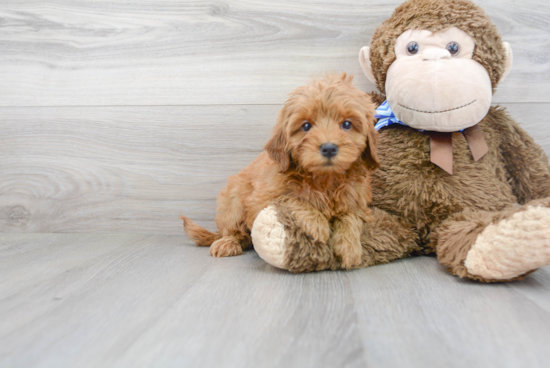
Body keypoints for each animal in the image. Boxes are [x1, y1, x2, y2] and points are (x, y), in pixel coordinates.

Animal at [183, 73, 382, 268]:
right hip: (234, 202)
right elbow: (291, 198)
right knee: (234, 230)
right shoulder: (263, 198)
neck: (324, 179)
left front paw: (350, 248)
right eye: (306, 126)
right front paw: (318, 223)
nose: (329, 148)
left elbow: (351, 216)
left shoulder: (357, 199)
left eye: (347, 124)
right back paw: (227, 242)